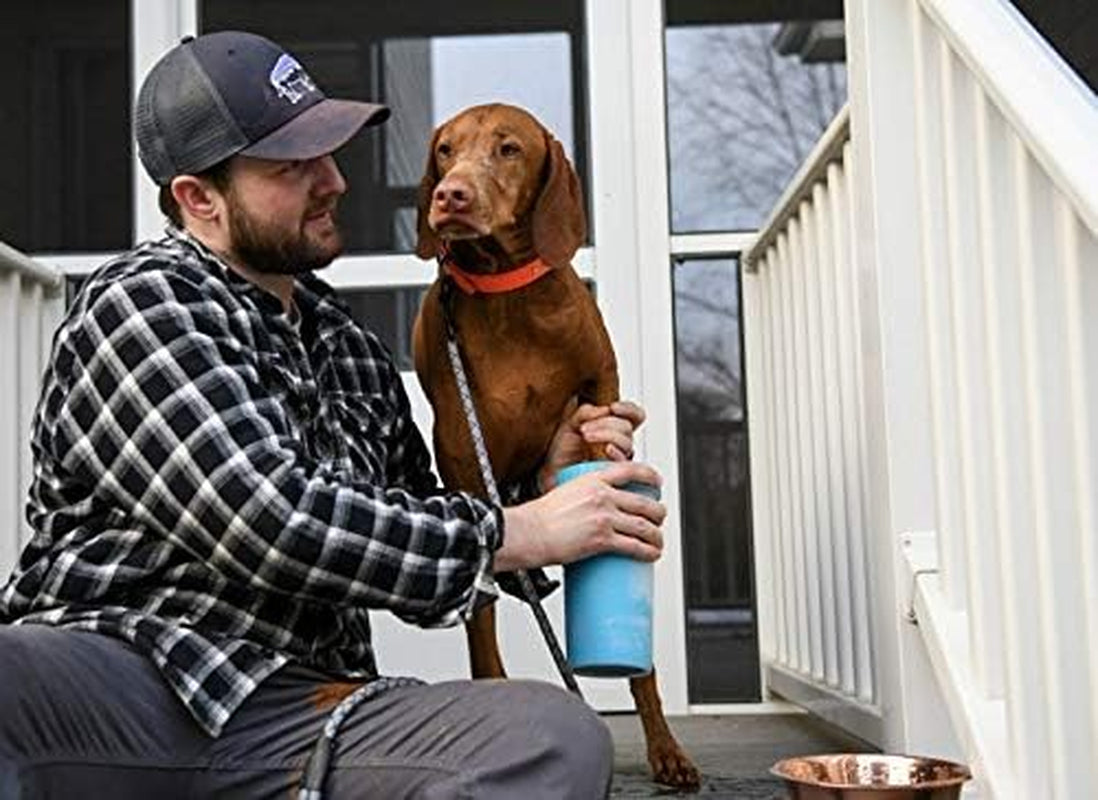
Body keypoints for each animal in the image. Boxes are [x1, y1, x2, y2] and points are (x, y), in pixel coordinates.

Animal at [412, 103, 702, 790]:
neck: (509, 295)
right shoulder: (463, 455)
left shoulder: (601, 394)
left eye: (509, 148)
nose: (450, 196)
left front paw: (667, 749)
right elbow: (481, 635)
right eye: (445, 149)